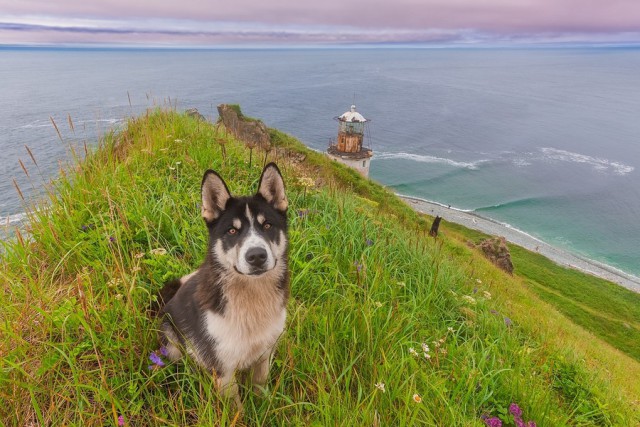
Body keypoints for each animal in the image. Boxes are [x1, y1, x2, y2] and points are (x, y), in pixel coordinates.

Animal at [158, 162, 290, 406]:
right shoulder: (224, 371)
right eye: (232, 230)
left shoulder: (264, 355)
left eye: (267, 225)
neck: (251, 299)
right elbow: (236, 408)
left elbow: (260, 389)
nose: (256, 256)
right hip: (173, 344)